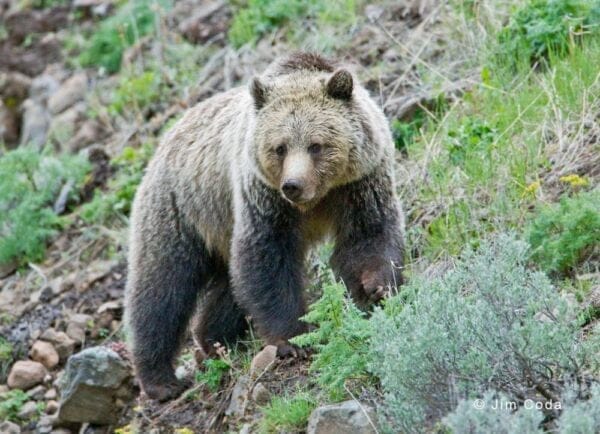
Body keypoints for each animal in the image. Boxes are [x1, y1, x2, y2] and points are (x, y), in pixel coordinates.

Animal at [126, 52, 408, 402]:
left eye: (316, 145)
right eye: (280, 147)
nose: (293, 185)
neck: (317, 199)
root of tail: (166, 137)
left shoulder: (358, 184)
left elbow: (369, 235)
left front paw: (376, 286)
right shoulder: (264, 199)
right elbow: (266, 261)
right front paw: (293, 339)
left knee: (227, 286)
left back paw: (214, 340)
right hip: (181, 211)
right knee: (162, 288)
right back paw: (160, 379)